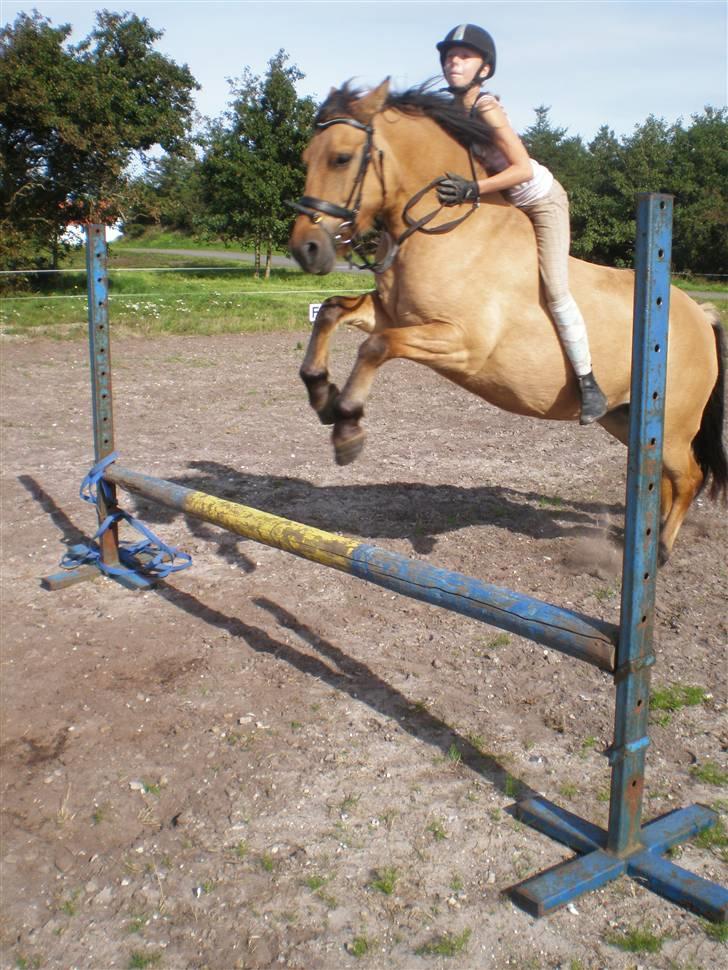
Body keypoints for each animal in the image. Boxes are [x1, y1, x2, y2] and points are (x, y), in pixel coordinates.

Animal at [290, 79, 728, 564]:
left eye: (341, 158)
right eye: (308, 158)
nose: (305, 249)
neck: (448, 230)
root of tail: (699, 313)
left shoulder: (461, 343)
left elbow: (376, 347)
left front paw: (347, 427)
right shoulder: (393, 314)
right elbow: (332, 311)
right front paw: (321, 395)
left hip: (673, 422)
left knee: (687, 476)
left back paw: (660, 551)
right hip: (627, 418)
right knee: (664, 477)